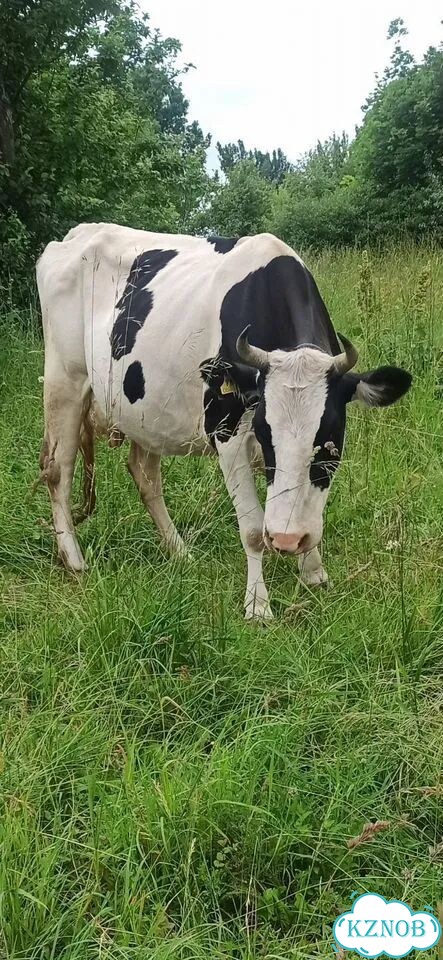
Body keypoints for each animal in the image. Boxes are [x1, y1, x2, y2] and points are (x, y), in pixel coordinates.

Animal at [37, 224, 412, 619]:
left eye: (328, 441)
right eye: (264, 432)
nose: (286, 540)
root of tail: (76, 234)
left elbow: (310, 509)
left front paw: (314, 573)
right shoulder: (227, 430)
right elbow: (252, 528)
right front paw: (258, 606)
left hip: (148, 410)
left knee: (144, 473)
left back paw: (180, 552)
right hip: (65, 379)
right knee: (58, 468)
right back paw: (74, 560)